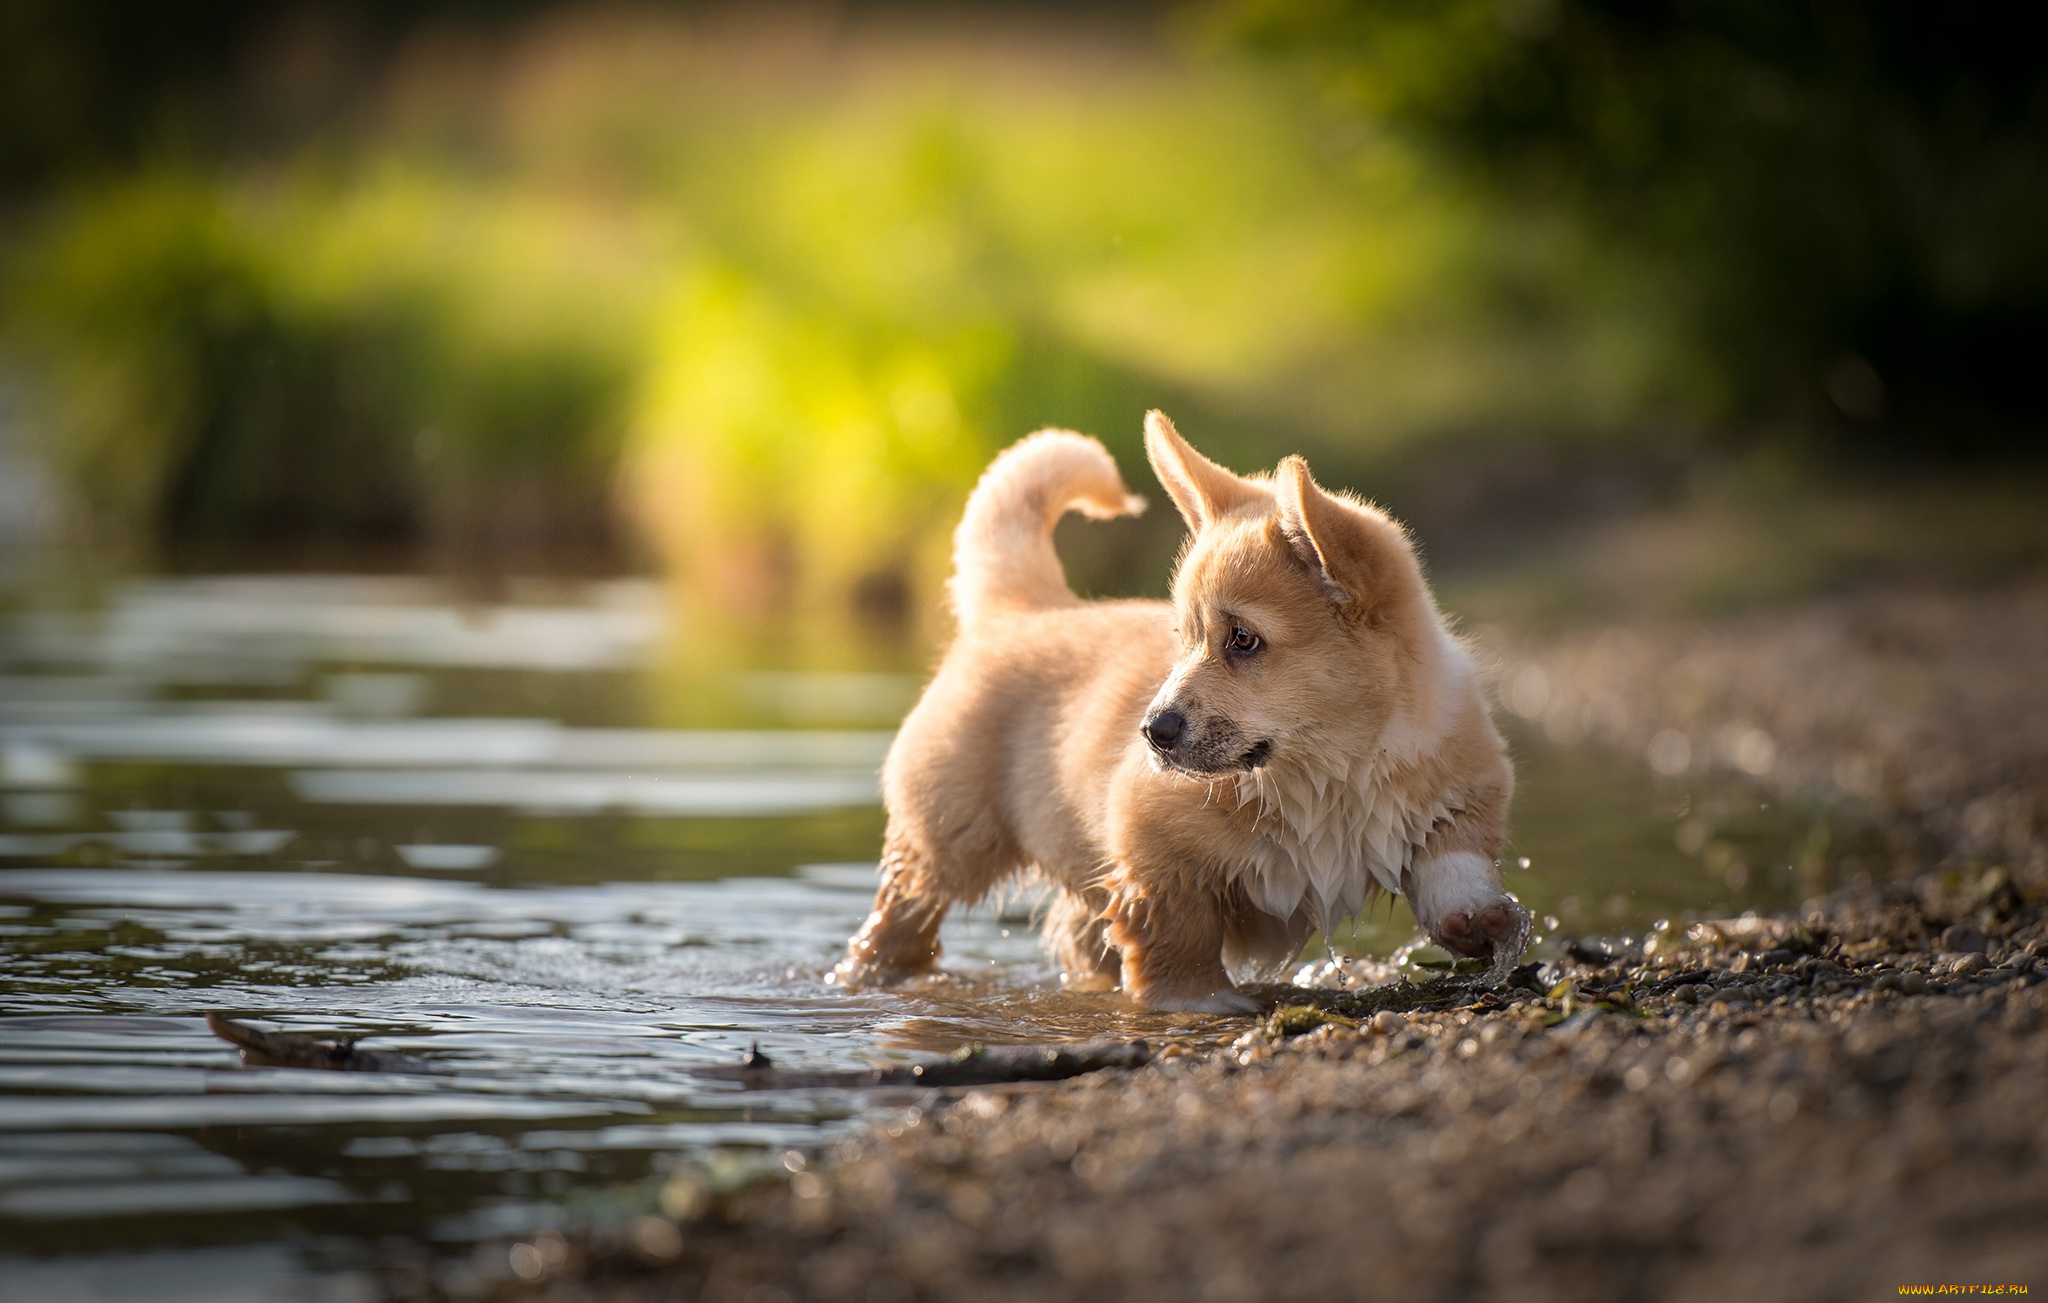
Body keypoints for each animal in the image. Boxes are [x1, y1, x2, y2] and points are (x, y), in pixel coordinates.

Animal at [831, 411, 1523, 1012]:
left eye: (1242, 639)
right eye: (1183, 637)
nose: (1150, 733)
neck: (1330, 775)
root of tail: (1023, 608)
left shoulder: (1456, 801)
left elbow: (1453, 871)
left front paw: (1484, 922)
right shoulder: (1154, 852)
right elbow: (1178, 936)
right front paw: (1197, 1002)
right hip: (945, 838)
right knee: (900, 919)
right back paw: (866, 975)